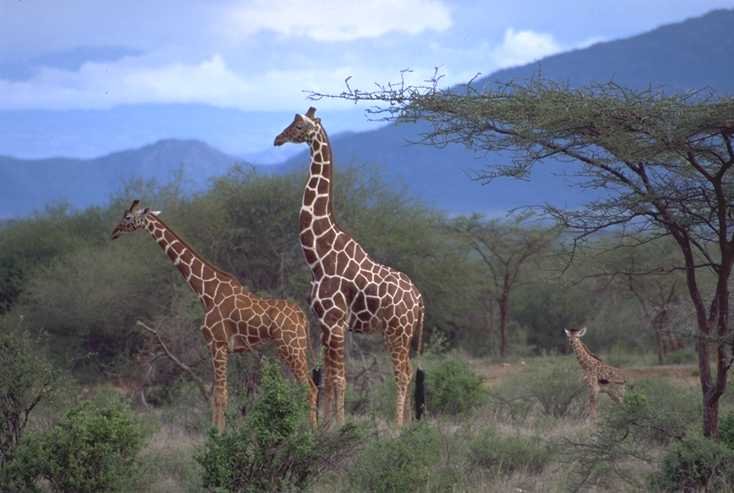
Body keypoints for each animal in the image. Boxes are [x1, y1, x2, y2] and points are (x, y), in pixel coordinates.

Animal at [111, 200, 317, 431]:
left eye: (128, 217)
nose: (114, 232)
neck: (206, 292)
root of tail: (303, 318)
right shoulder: (217, 347)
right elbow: (219, 395)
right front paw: (216, 431)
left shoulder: (217, 343)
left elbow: (220, 396)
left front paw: (218, 434)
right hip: (295, 347)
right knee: (311, 387)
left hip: (291, 347)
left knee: (309, 388)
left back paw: (312, 432)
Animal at [274, 107, 425, 427]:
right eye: (292, 120)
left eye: (299, 124)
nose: (278, 138)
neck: (319, 256)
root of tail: (419, 299)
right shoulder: (323, 322)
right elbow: (327, 377)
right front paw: (326, 424)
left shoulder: (335, 321)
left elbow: (340, 378)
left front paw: (340, 425)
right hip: (403, 335)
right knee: (407, 372)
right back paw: (406, 423)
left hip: (396, 333)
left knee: (402, 374)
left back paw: (398, 427)